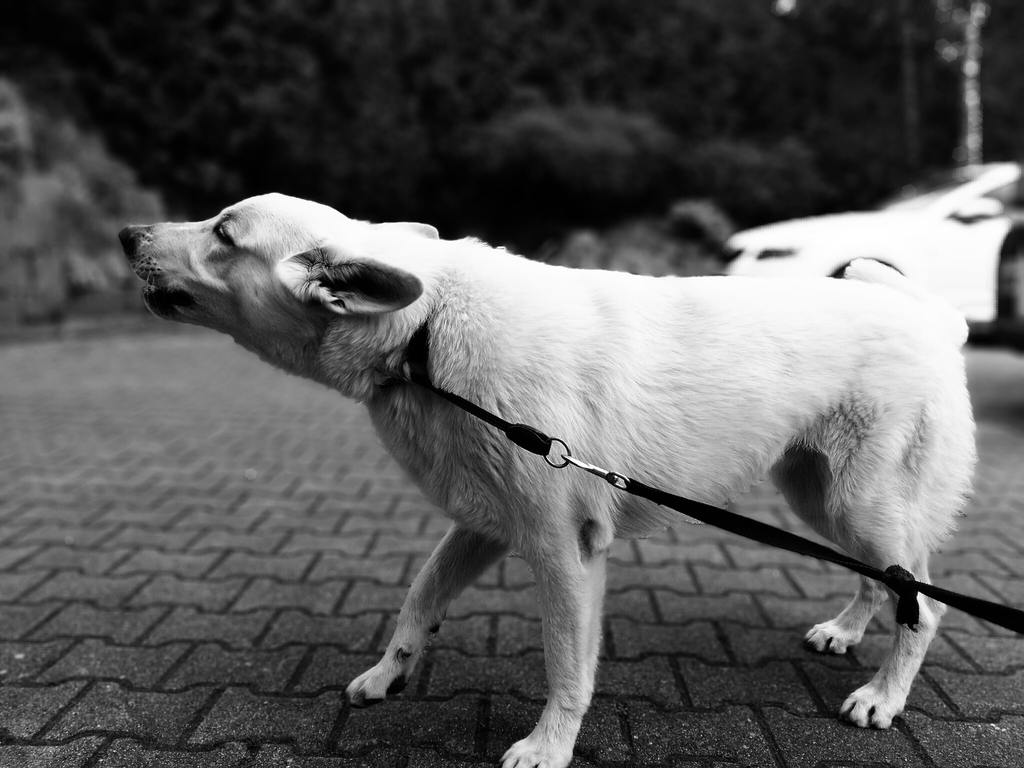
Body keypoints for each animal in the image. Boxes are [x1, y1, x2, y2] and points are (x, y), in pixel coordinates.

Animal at [119, 195, 974, 768]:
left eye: (225, 232)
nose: (125, 234)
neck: (425, 333)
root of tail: (935, 317)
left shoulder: (563, 550)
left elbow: (566, 665)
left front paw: (549, 745)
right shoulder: (483, 526)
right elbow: (418, 601)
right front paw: (390, 673)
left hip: (855, 501)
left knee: (923, 603)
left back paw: (884, 697)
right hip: (820, 495)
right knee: (885, 582)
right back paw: (846, 632)